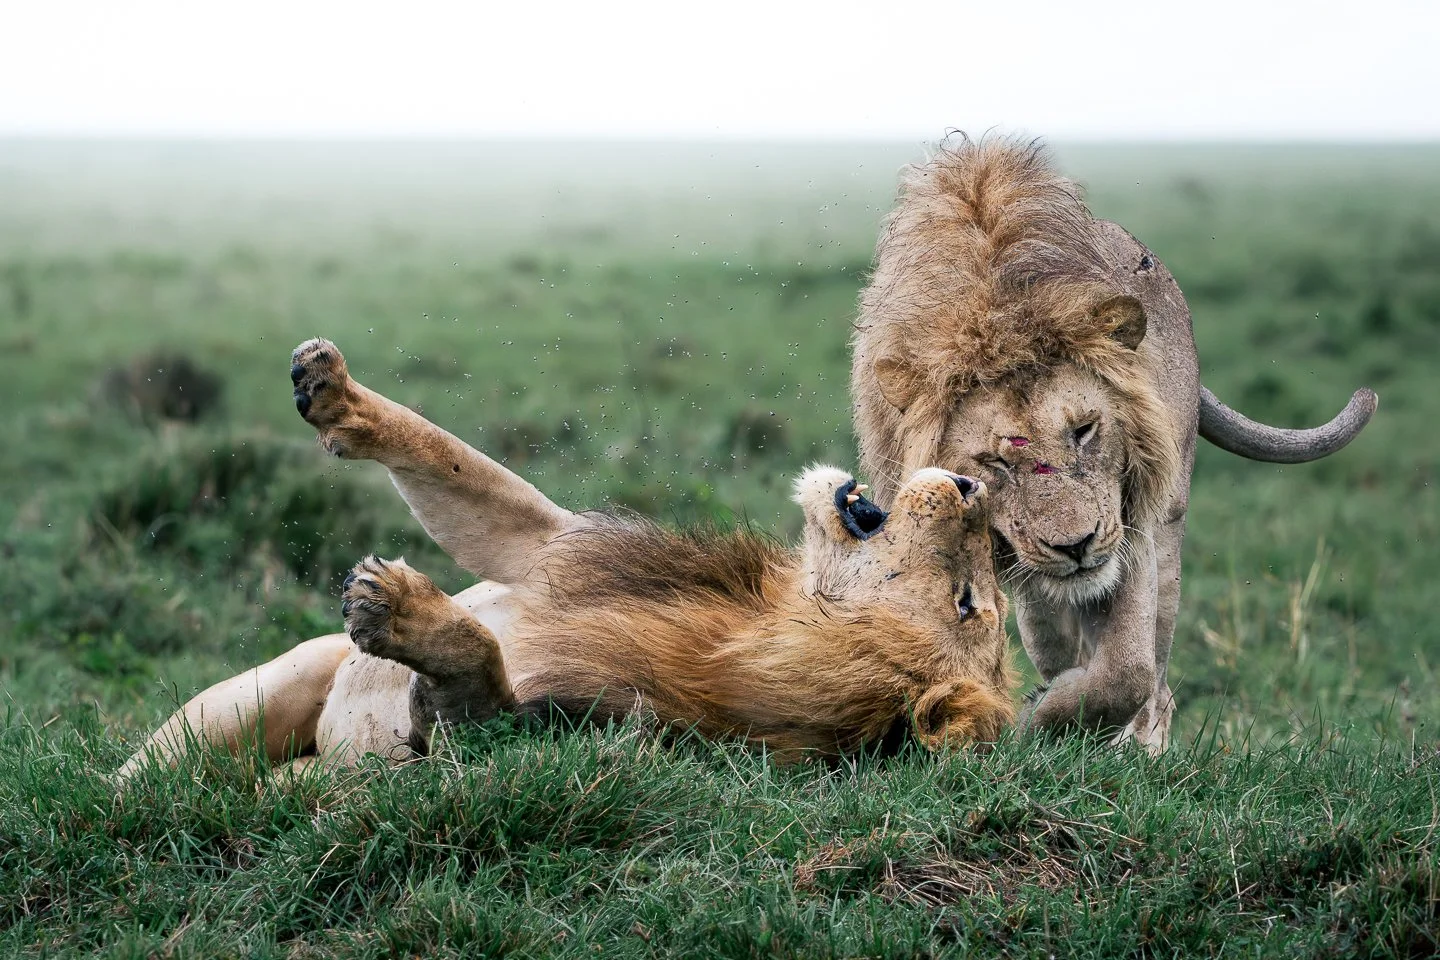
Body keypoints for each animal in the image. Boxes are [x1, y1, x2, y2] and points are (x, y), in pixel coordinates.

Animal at [118, 339, 1015, 779]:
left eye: (967, 602)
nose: (974, 485)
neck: (754, 619)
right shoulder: (549, 546)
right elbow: (457, 466)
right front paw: (334, 394)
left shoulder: (515, 740)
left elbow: (479, 677)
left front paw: (400, 607)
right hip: (260, 692)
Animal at [851, 136, 1377, 751]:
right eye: (994, 461)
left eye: (1084, 430)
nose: (1075, 546)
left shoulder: (1129, 524)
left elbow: (1126, 672)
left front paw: (1044, 719)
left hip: (1167, 523)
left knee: (1157, 667)